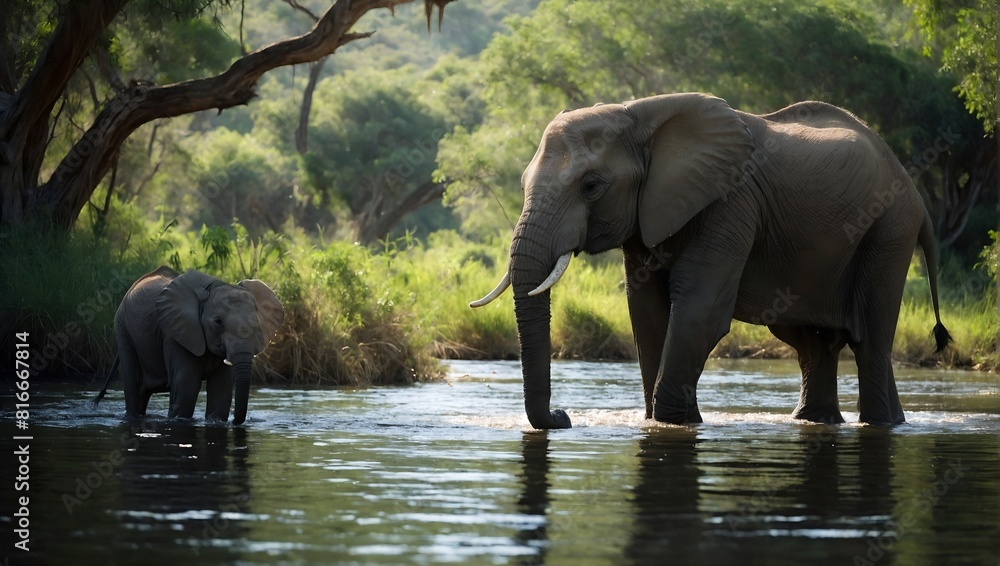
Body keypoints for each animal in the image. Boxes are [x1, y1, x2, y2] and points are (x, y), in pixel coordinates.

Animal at [94, 266, 284, 424]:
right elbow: (186, 387)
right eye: (218, 322)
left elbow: (221, 391)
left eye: (257, 323)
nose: (236, 422)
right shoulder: (175, 334)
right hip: (122, 329)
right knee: (132, 383)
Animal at [471, 93, 950, 429]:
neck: (641, 117)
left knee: (870, 340)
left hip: (888, 229)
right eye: (522, 184)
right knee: (813, 343)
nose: (564, 417)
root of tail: (917, 196)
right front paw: (668, 420)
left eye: (591, 186)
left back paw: (879, 423)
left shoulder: (731, 201)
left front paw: (674, 422)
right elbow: (646, 312)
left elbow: (699, 310)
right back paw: (823, 421)